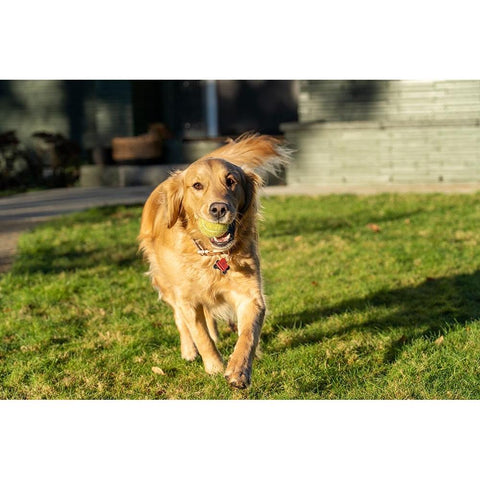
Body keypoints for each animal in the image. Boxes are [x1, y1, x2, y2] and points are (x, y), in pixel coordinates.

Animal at [137, 133, 290, 388]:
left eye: (231, 181)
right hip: (166, 283)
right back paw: (189, 350)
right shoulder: (187, 299)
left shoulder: (250, 295)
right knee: (180, 318)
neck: (213, 256)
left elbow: (248, 334)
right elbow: (200, 335)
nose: (218, 209)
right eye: (197, 186)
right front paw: (214, 367)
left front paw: (239, 369)